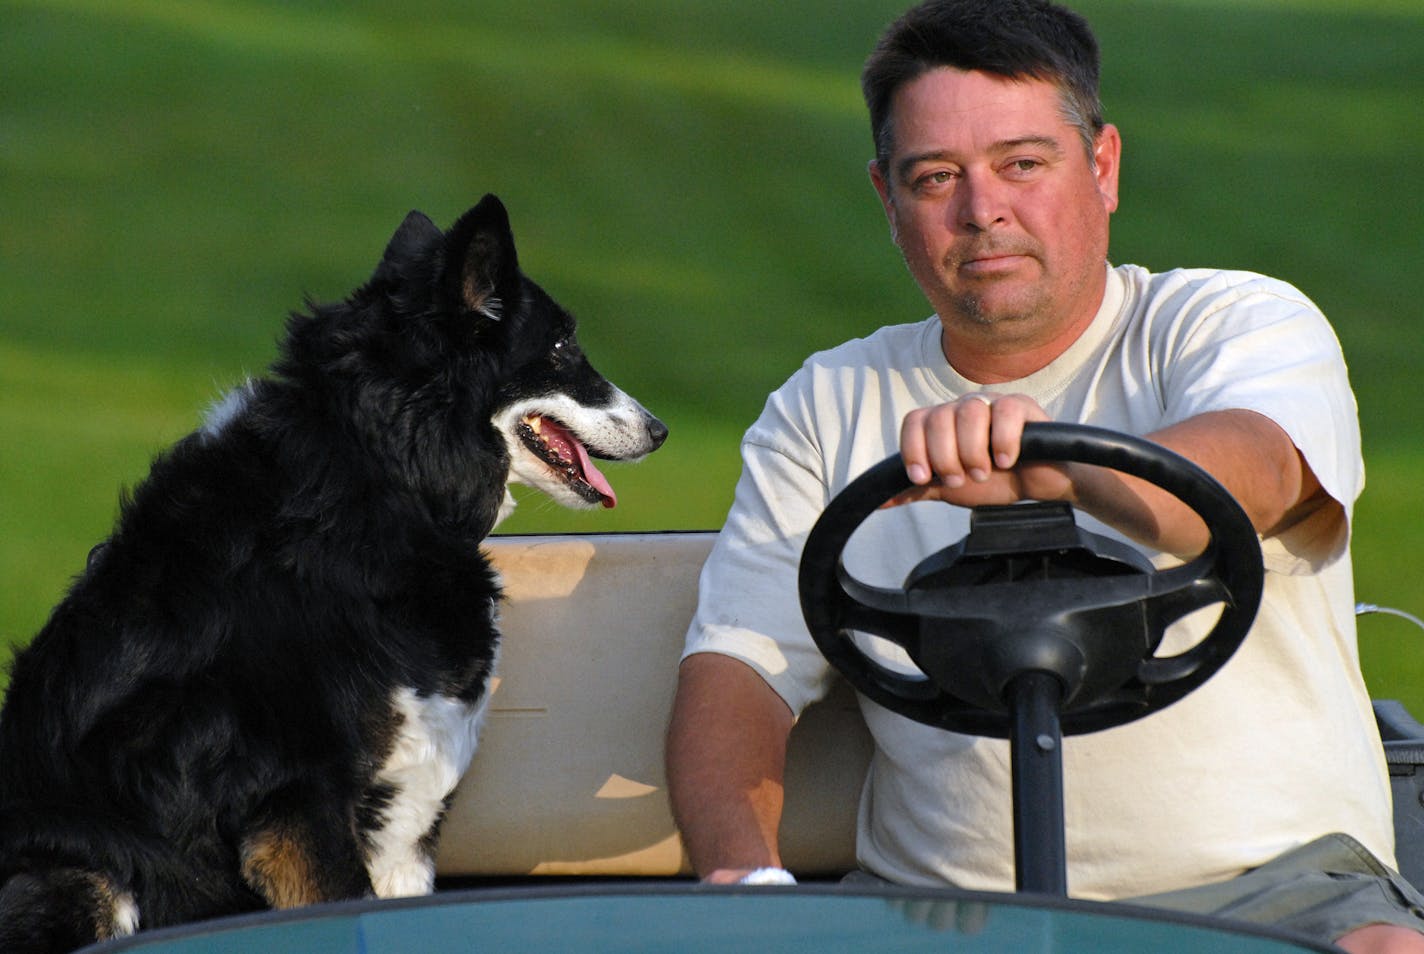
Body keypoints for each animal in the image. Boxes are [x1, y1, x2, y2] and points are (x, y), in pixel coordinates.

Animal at [0, 193, 666, 951]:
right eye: (560, 349)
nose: (660, 430)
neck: (380, 475)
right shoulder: (297, 807)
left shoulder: (405, 816)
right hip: (84, 873)